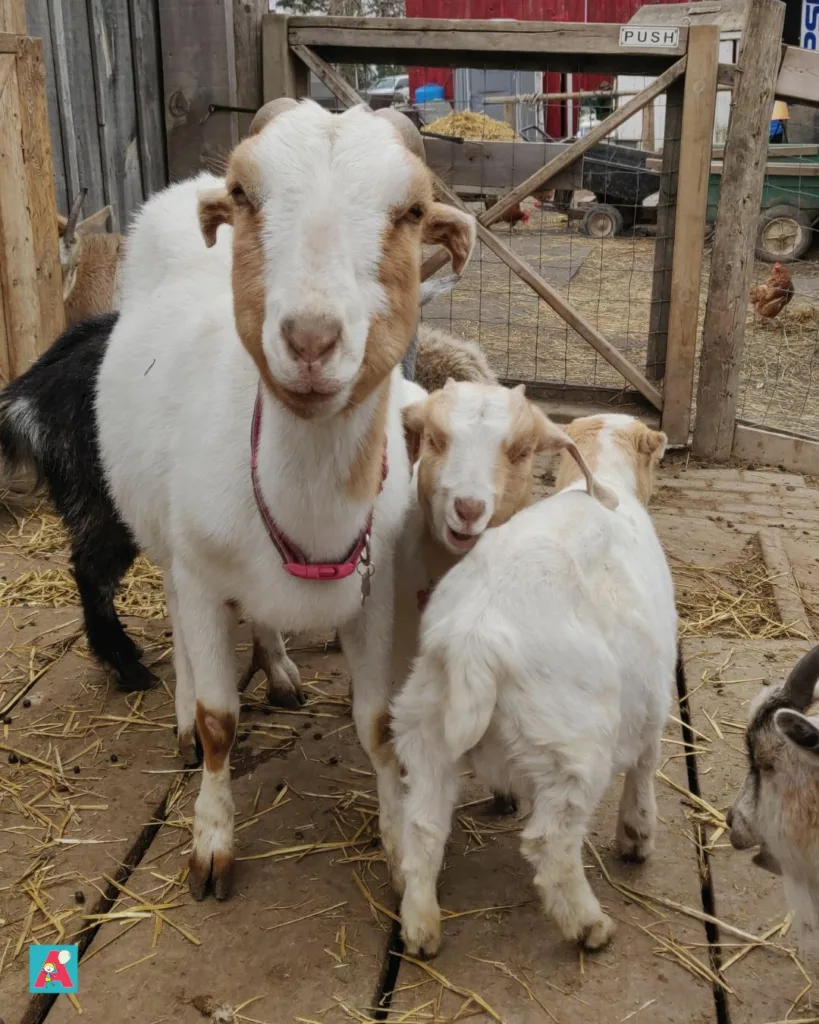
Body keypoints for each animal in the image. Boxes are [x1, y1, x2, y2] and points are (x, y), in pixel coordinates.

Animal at [94, 96, 472, 897]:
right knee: (178, 624)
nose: (309, 340)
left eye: (411, 210)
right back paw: (182, 714)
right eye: (245, 193)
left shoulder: (375, 595)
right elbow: (219, 719)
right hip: (166, 542)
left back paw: (278, 668)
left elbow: (376, 725)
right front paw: (210, 843)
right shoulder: (203, 573)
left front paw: (399, 848)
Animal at [391, 411, 671, 954]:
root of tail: (473, 640)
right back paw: (588, 926)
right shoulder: (655, 694)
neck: (602, 482)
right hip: (573, 749)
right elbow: (646, 766)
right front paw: (637, 836)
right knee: (551, 845)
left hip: (425, 726)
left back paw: (421, 926)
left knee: (423, 826)